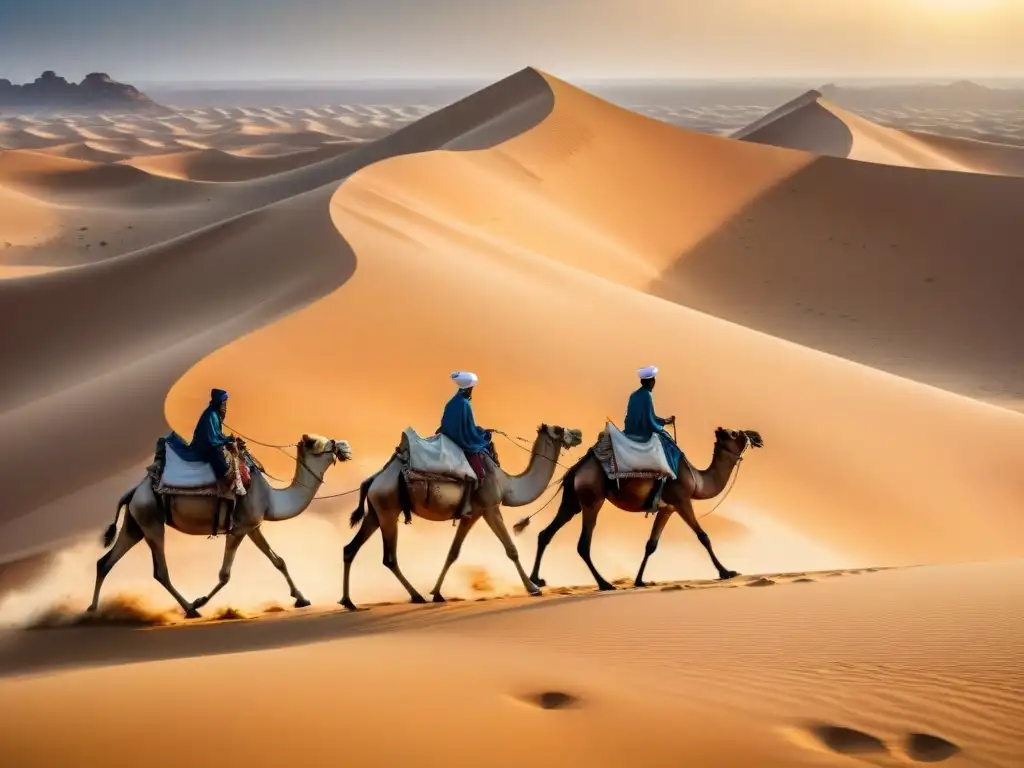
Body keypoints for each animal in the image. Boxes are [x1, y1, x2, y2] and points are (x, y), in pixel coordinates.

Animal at [90, 436, 352, 622]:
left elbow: (279, 561)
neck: (270, 498)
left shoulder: (252, 526)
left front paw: (302, 598)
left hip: (136, 522)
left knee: (105, 561)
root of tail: (134, 490)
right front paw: (200, 601)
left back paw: (92, 610)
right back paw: (190, 609)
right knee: (160, 571)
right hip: (151, 520)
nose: (346, 446)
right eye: (323, 442)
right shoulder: (238, 529)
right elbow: (224, 574)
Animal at [342, 423, 585, 610]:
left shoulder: (472, 514)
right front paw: (533, 588)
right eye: (559, 429)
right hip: (388, 510)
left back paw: (348, 602)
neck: (506, 484)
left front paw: (437, 593)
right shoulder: (490, 507)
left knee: (350, 549)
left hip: (376, 513)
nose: (579, 433)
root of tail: (373, 479)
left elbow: (452, 553)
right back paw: (416, 596)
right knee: (389, 558)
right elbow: (511, 550)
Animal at [528, 428, 761, 589]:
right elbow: (703, 536)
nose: (756, 436)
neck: (697, 480)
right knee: (583, 544)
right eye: (734, 433)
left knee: (545, 534)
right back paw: (604, 584)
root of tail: (576, 469)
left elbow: (651, 544)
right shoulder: (682, 500)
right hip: (592, 499)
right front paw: (727, 572)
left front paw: (640, 581)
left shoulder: (667, 508)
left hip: (572, 501)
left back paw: (536, 580)